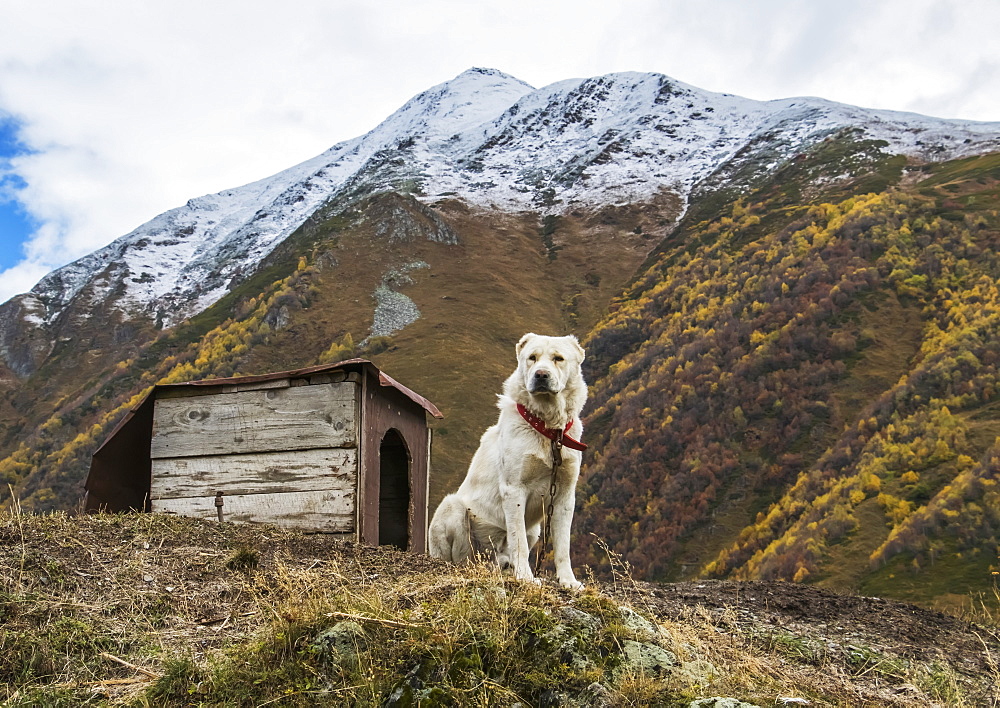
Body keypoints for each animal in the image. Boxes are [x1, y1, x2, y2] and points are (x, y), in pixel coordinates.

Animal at [428, 334, 584, 588]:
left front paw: (568, 581)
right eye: (532, 358)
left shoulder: (564, 495)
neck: (548, 430)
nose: (541, 375)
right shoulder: (514, 490)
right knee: (465, 557)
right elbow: (517, 539)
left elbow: (563, 546)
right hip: (454, 507)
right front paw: (526, 577)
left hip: (535, 530)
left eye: (558, 358)